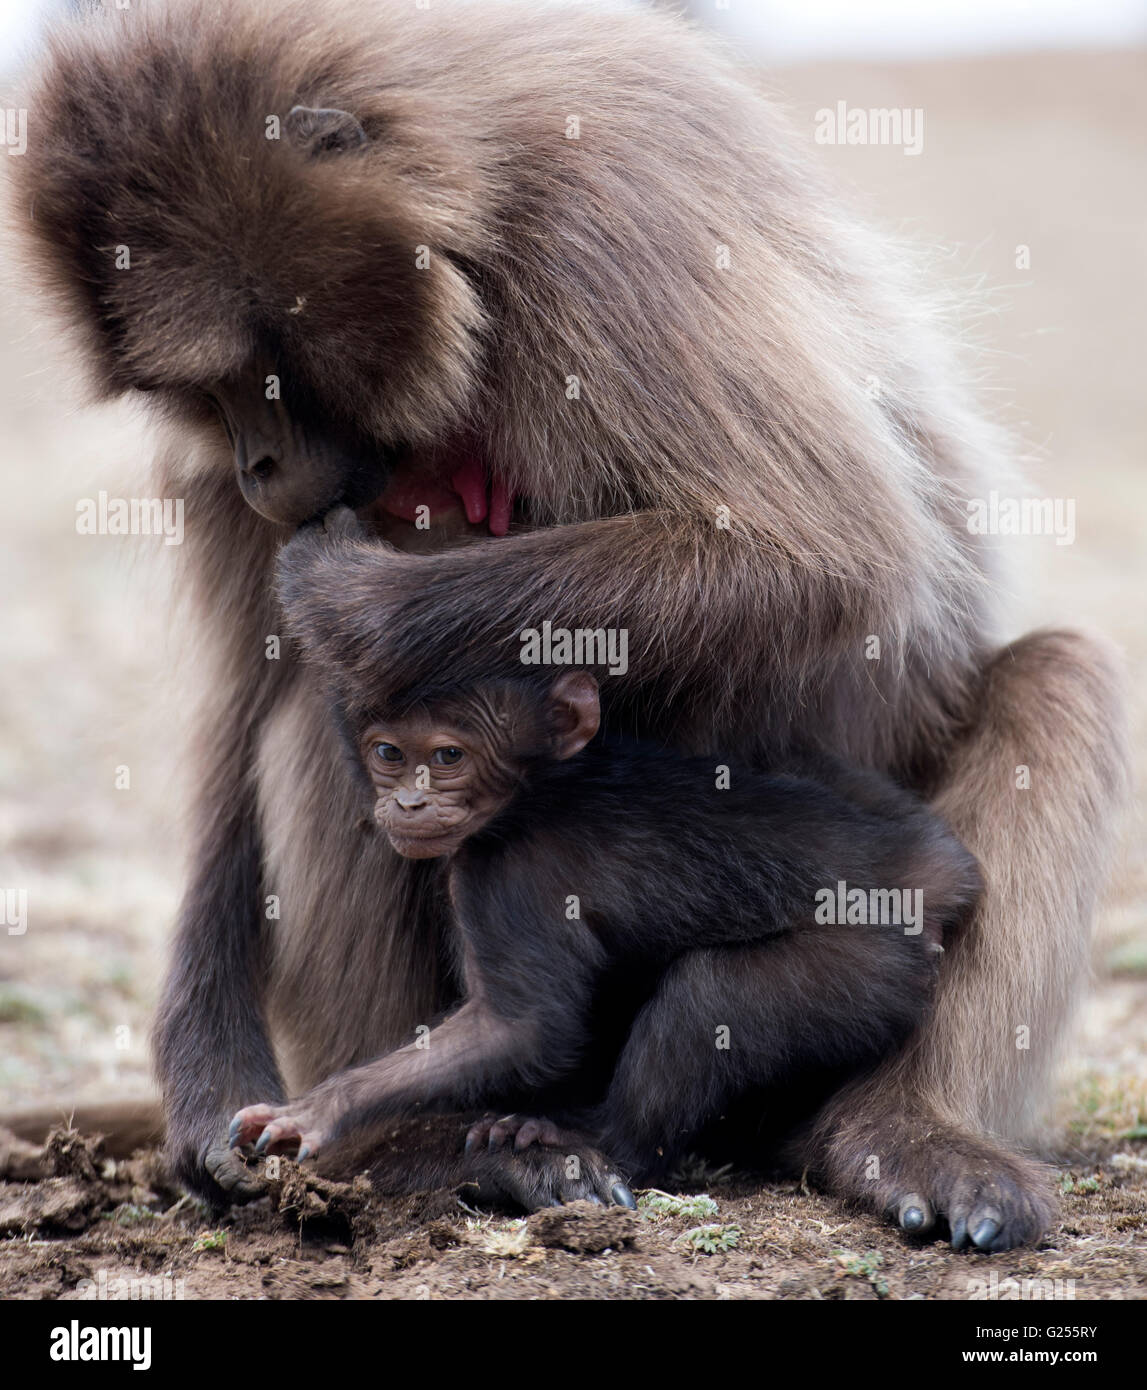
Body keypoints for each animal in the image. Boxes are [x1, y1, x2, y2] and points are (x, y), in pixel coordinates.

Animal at [228, 656, 981, 1205]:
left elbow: (522, 1030)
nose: (408, 801)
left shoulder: (501, 873)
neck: (532, 789)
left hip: (867, 966)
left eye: (446, 757)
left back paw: (597, 1138)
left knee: (710, 998)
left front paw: (319, 1109)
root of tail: (919, 877)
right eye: (388, 751)